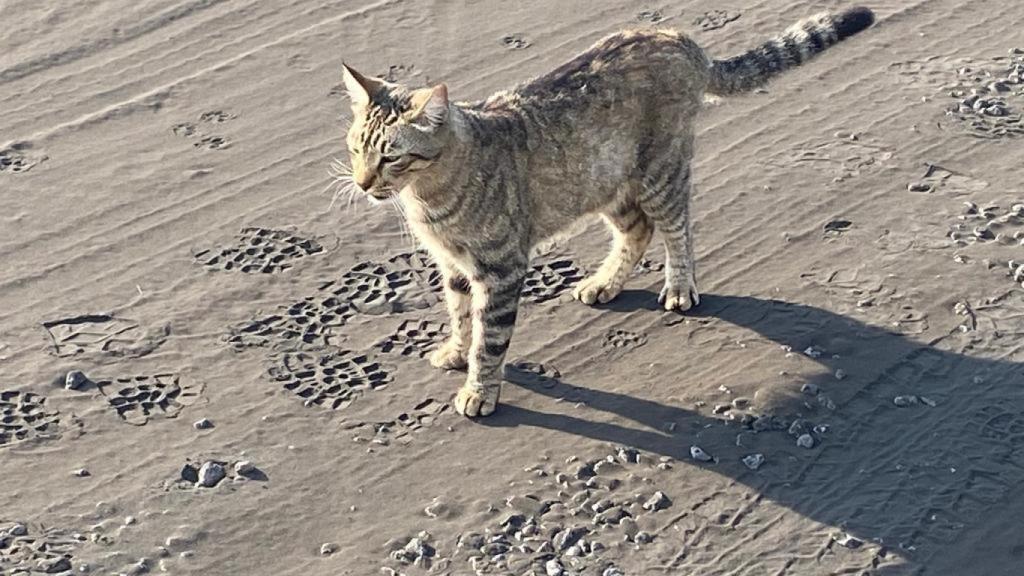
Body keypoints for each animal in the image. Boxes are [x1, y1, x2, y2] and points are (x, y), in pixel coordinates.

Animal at [335, 6, 872, 414]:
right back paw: (604, 282)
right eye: (355, 149)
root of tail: (681, 38)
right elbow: (462, 315)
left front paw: (479, 389)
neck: (429, 197)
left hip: (661, 172)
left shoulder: (501, 267)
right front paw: (455, 350)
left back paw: (679, 287)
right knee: (637, 231)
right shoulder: (454, 265)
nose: (362, 183)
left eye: (390, 157)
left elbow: (490, 338)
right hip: (605, 183)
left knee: (678, 229)